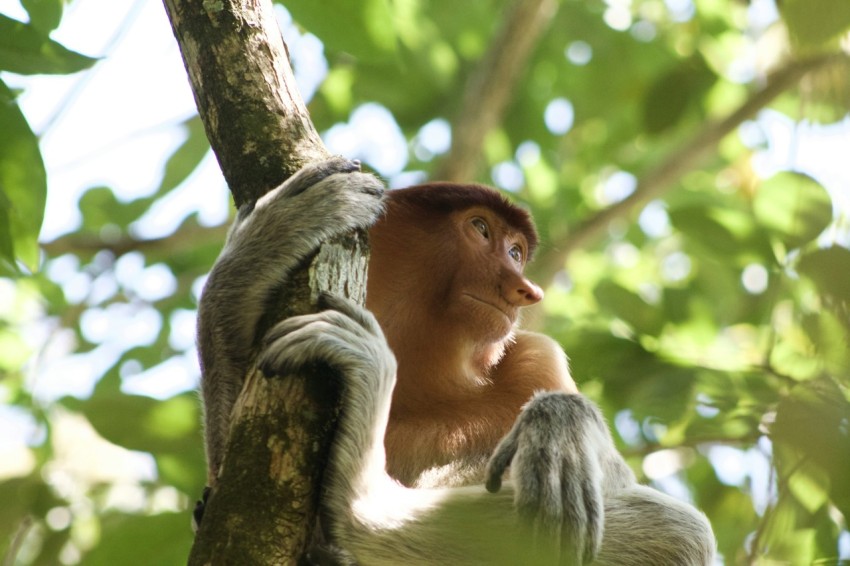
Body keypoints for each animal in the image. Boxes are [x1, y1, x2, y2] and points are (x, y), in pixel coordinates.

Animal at [196, 157, 716, 564]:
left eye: (517, 251)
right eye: (480, 228)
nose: (525, 290)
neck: (429, 382)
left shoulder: (536, 359)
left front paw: (559, 423)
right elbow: (232, 511)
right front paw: (256, 249)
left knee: (676, 531)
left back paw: (362, 504)